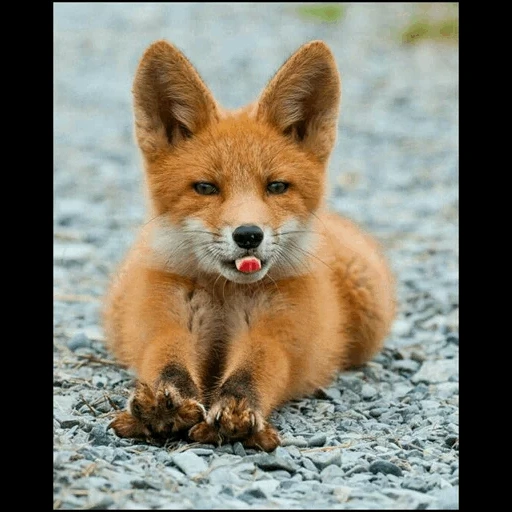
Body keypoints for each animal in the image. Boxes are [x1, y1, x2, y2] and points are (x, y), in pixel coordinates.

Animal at [104, 40, 396, 452]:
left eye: (276, 186)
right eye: (206, 187)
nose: (248, 235)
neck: (226, 296)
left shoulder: (278, 333)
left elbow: (254, 370)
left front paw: (237, 411)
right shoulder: (163, 318)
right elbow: (166, 359)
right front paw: (164, 404)